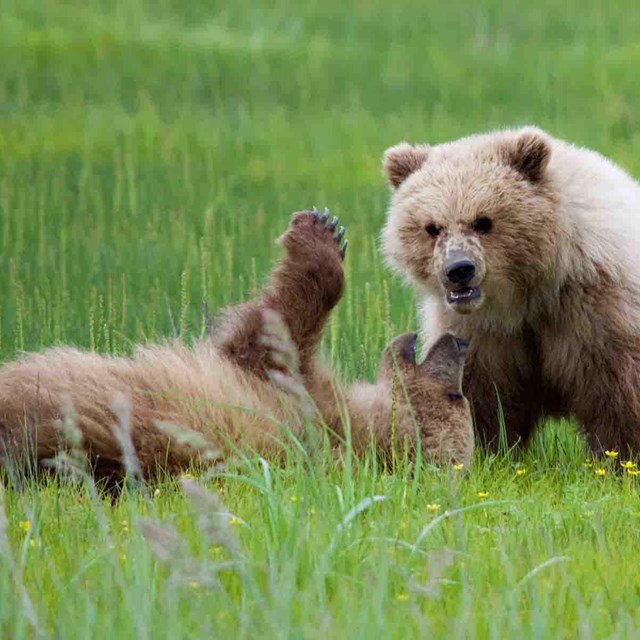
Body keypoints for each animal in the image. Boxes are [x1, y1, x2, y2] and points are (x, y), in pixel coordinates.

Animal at [0, 209, 473, 482]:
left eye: (456, 397)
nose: (459, 342)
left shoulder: (286, 397)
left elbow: (269, 333)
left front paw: (320, 236)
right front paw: (330, 231)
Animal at [381, 126, 640, 456]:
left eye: (483, 221)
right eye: (432, 227)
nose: (459, 270)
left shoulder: (594, 311)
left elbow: (616, 394)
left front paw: (620, 456)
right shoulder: (483, 334)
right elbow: (483, 396)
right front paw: (487, 451)